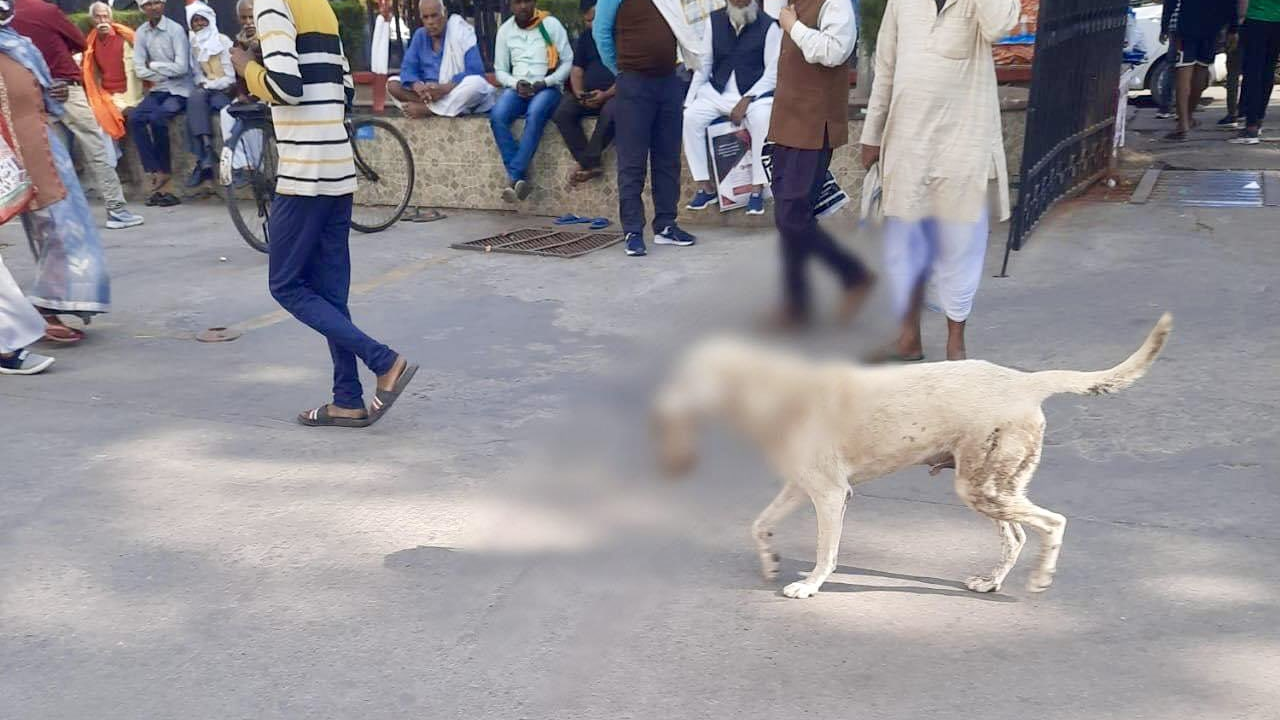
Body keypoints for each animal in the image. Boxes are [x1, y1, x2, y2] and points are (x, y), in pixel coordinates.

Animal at [655, 312, 1172, 594]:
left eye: (690, 376)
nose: (659, 409)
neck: (772, 392)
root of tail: (1025, 380)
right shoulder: (799, 487)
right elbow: (759, 525)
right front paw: (770, 563)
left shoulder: (830, 495)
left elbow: (826, 551)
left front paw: (811, 586)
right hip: (990, 489)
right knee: (1017, 537)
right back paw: (991, 582)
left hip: (980, 488)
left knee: (1053, 523)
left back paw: (1041, 577)